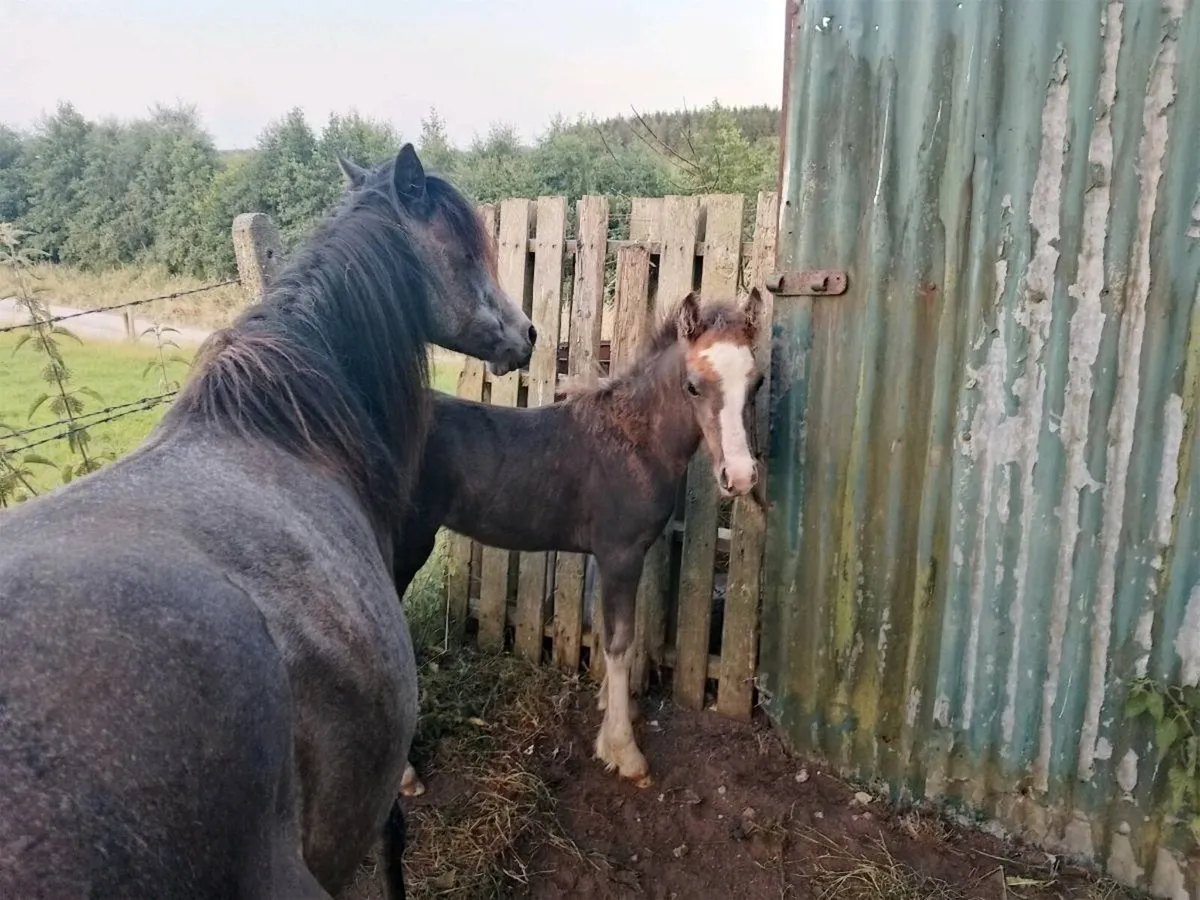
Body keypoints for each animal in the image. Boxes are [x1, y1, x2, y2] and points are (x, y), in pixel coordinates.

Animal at [392, 288, 765, 797]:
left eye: (757, 382)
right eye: (693, 385)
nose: (740, 477)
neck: (634, 439)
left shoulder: (604, 557)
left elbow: (604, 629)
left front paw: (613, 710)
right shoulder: (621, 554)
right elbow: (621, 640)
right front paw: (624, 752)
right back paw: (405, 774)